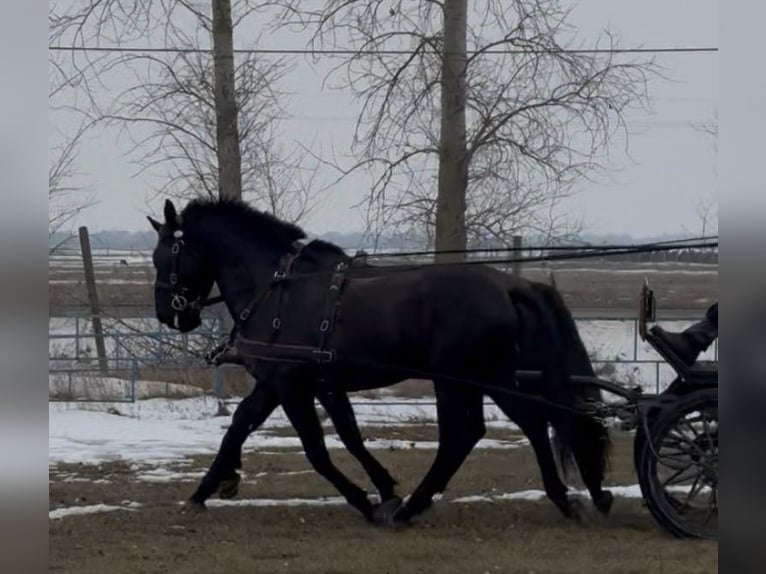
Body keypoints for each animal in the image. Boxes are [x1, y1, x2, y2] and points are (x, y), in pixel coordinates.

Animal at [147, 197, 613, 526]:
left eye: (165, 256)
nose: (169, 315)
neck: (278, 289)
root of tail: (509, 285)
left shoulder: (292, 386)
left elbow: (316, 450)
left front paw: (367, 501)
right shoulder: (295, 384)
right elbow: (251, 426)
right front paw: (205, 489)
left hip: (456, 379)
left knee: (462, 437)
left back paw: (413, 509)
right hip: (488, 377)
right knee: (531, 422)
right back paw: (563, 497)